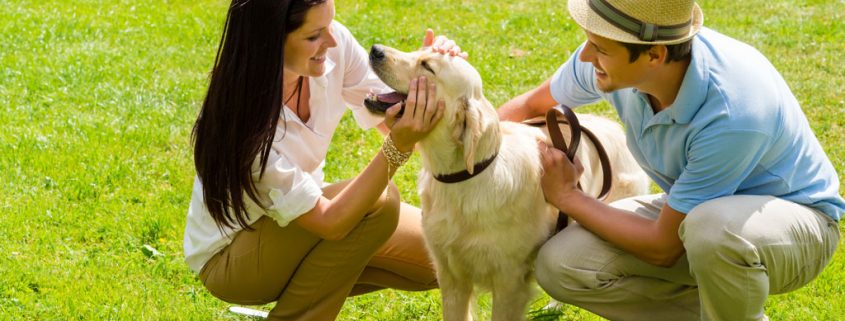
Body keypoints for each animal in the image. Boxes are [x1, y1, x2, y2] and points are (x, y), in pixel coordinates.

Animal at [362, 43, 648, 320]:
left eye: (427, 66)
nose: (375, 49)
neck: (465, 178)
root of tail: (613, 126)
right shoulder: (450, 275)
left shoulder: (510, 281)